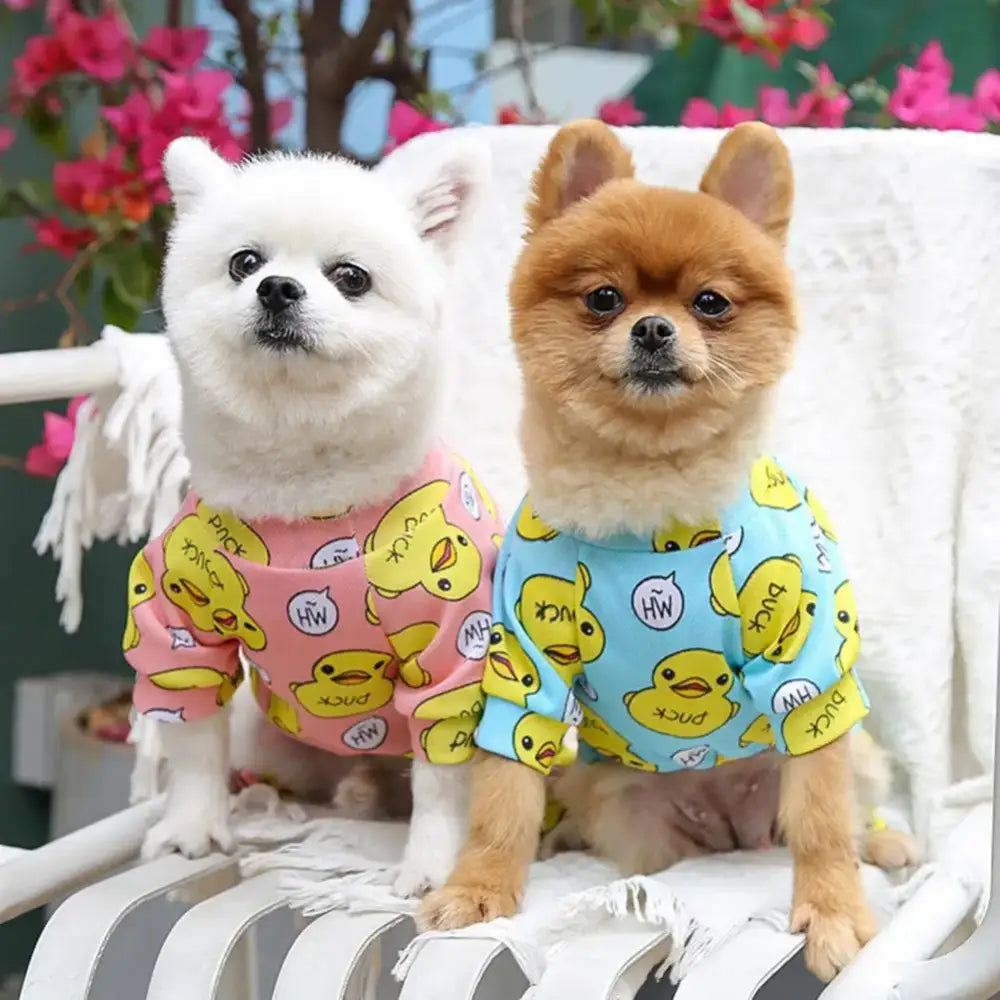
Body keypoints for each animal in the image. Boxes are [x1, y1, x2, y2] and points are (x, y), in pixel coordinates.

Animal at [133, 131, 500, 892]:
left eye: (351, 277)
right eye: (245, 262)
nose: (277, 287)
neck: (305, 502)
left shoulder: (457, 648)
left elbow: (443, 780)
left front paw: (433, 864)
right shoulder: (178, 625)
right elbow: (193, 740)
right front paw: (191, 829)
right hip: (275, 738)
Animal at [422, 121, 900, 980]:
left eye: (711, 303)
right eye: (604, 298)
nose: (652, 327)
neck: (648, 511)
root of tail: (735, 828)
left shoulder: (807, 668)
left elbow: (821, 817)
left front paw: (832, 911)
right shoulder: (525, 668)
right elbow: (504, 794)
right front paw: (480, 889)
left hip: (858, 752)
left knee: (848, 813)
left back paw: (889, 846)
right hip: (626, 814)